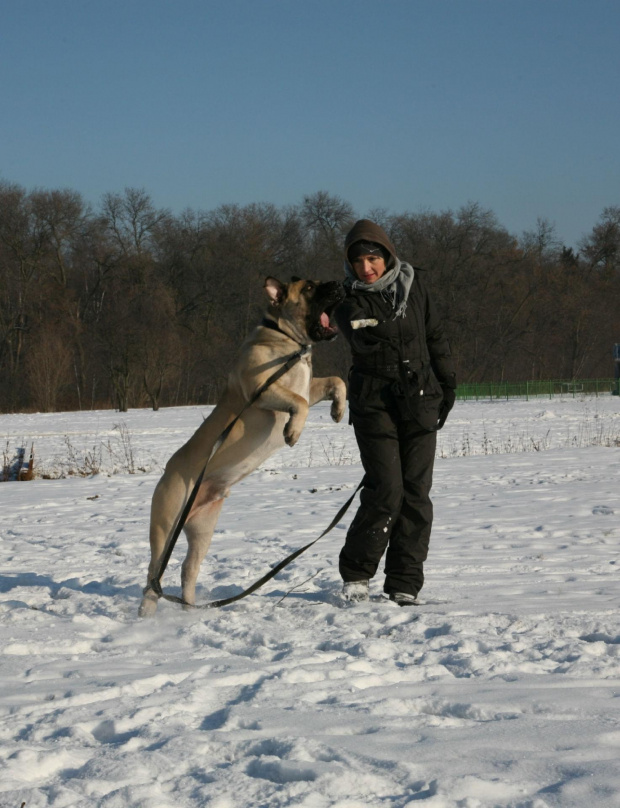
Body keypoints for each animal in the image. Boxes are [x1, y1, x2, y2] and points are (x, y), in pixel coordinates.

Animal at [137, 278, 346, 620]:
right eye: (310, 287)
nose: (339, 284)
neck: (289, 341)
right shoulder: (262, 388)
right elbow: (298, 403)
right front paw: (292, 432)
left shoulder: (309, 385)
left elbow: (336, 380)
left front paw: (338, 410)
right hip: (166, 523)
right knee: (155, 570)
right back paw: (147, 610)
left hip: (203, 528)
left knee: (187, 568)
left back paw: (191, 609)